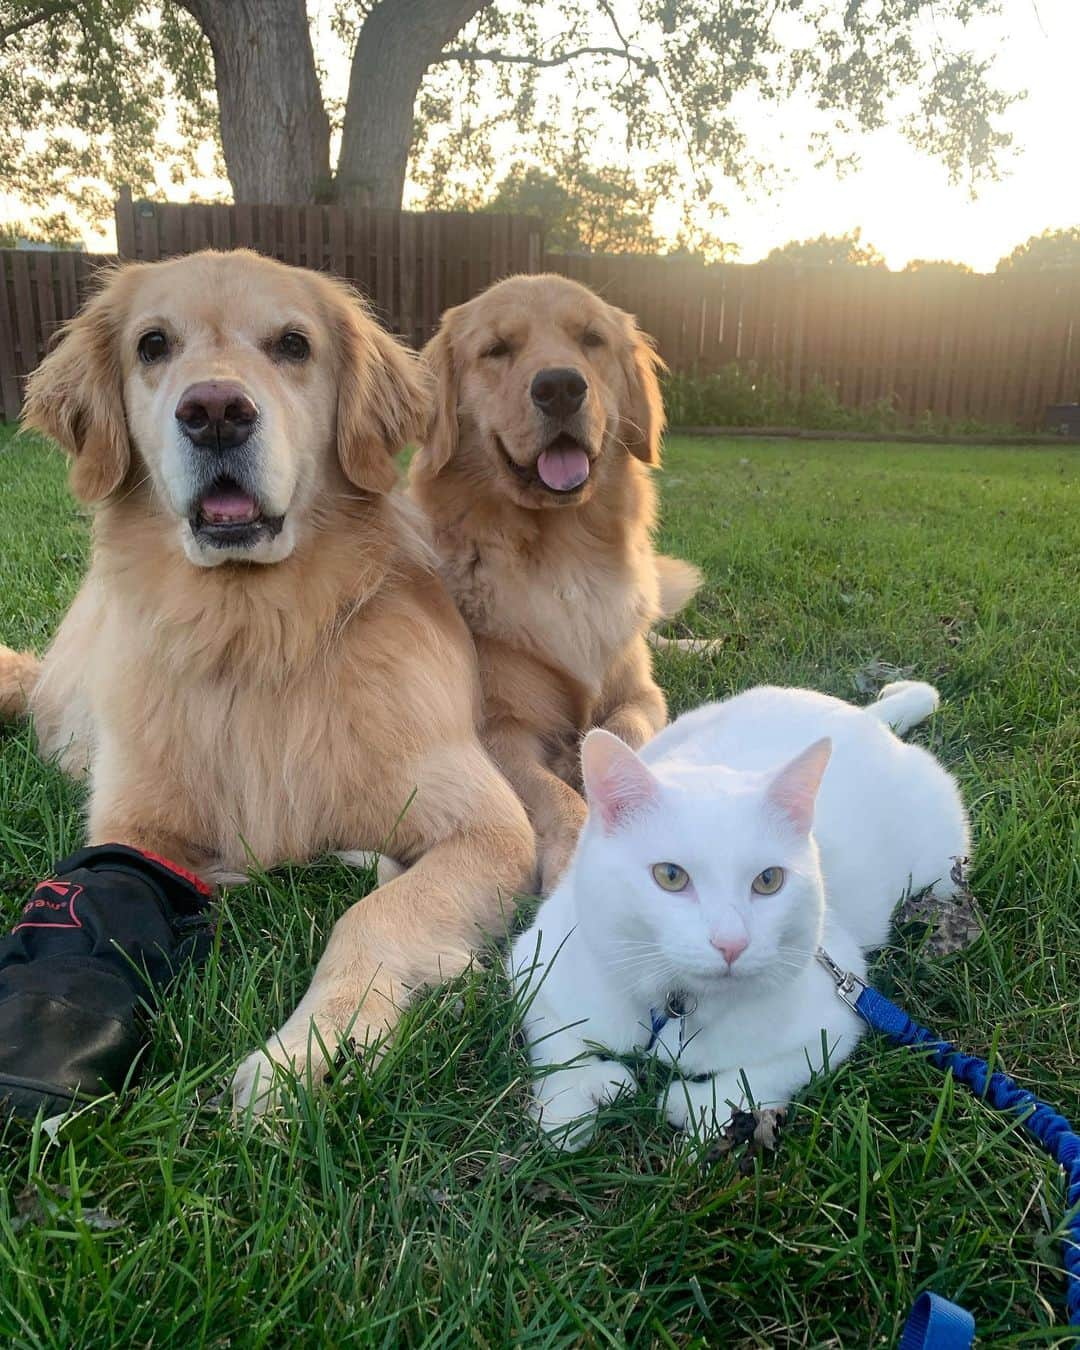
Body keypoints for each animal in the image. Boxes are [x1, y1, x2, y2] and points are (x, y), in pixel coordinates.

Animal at [507, 685, 972, 1150]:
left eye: (768, 880)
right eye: (670, 875)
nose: (731, 943)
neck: (675, 1005)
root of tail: (865, 717)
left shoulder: (835, 1018)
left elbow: (760, 1075)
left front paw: (696, 1108)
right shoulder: (536, 960)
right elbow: (555, 1041)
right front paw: (569, 1106)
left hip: (939, 868)